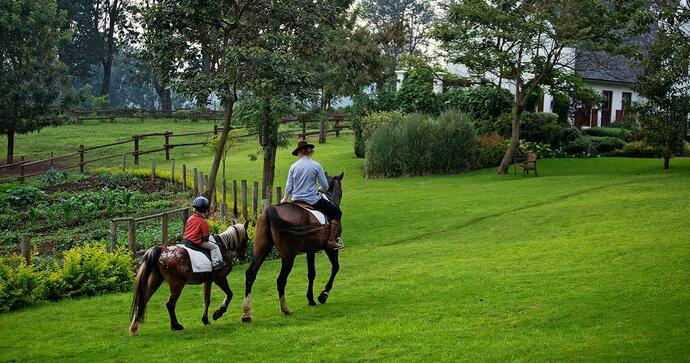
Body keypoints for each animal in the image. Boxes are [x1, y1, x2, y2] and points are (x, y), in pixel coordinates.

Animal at [242, 173, 344, 322]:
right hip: (288, 256)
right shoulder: (330, 248)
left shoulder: (310, 251)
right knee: (281, 280)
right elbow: (335, 268)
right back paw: (285, 309)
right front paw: (323, 295)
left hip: (260, 251)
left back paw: (246, 313)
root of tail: (270, 210)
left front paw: (311, 299)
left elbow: (311, 273)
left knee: (250, 274)